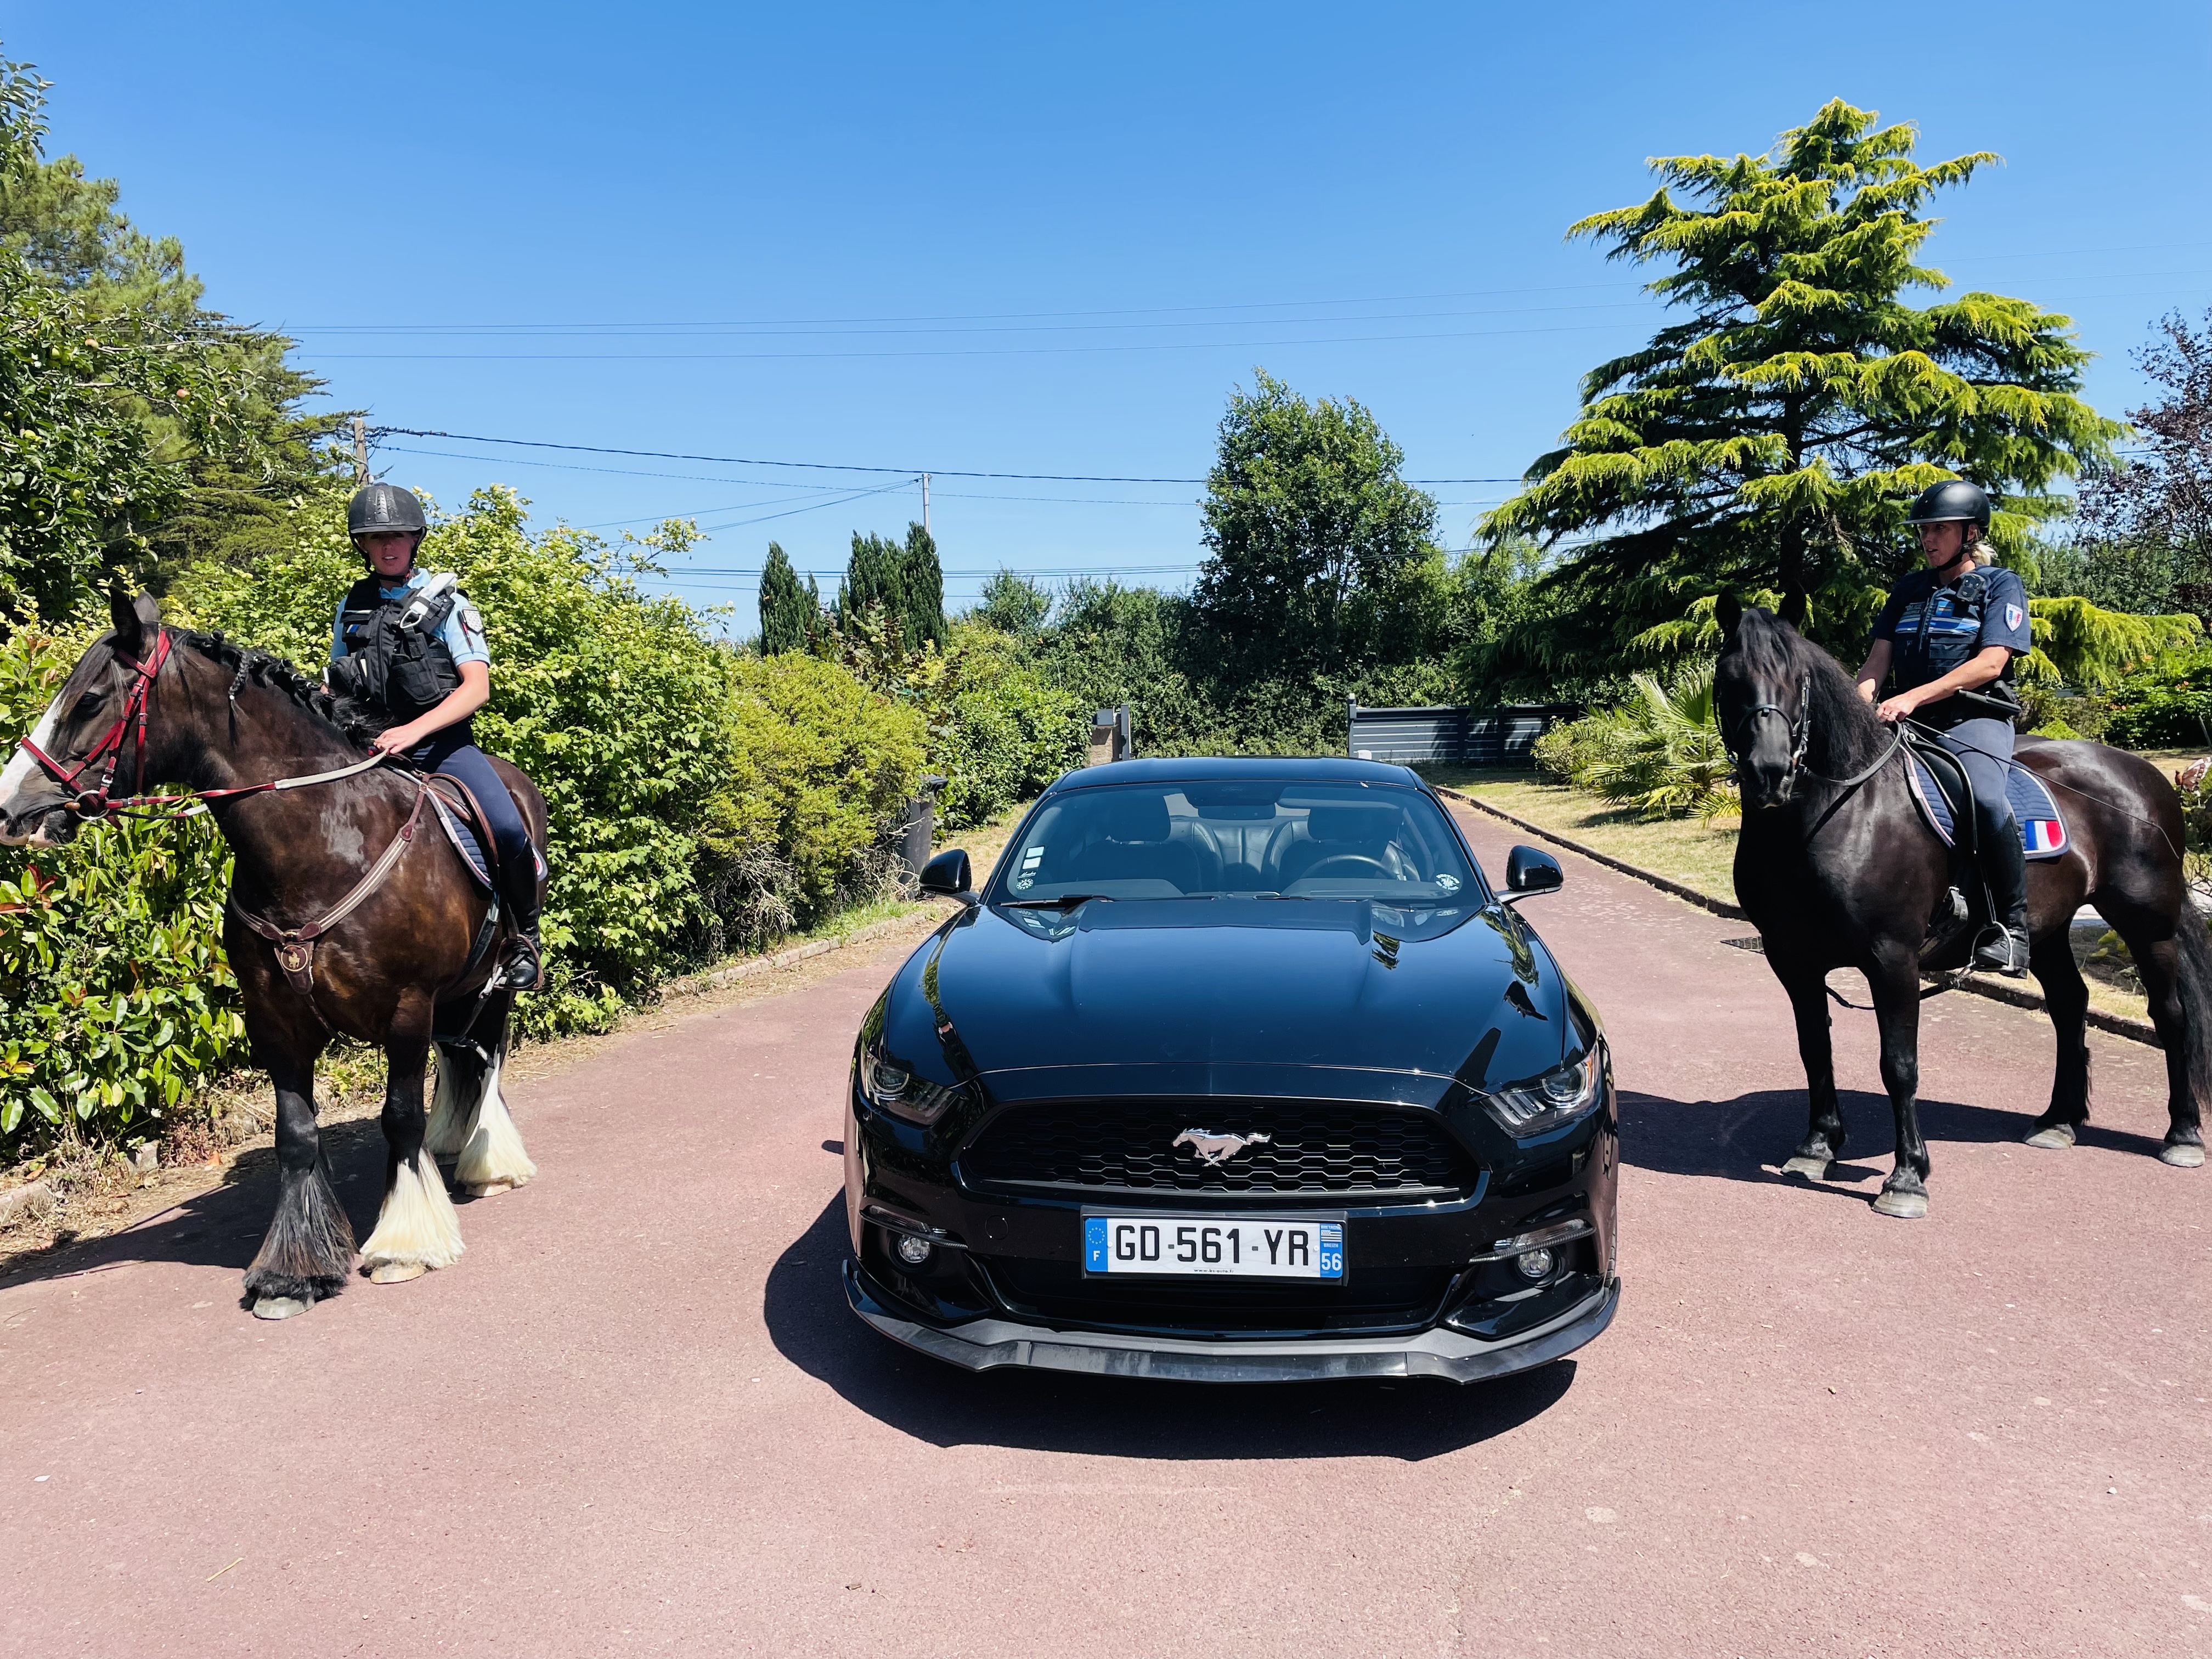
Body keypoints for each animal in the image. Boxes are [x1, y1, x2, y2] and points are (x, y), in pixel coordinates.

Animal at [0, 592, 548, 1318]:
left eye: (89, 699)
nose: (11, 811)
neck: (324, 839)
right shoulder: (275, 1019)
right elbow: (296, 1137)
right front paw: (293, 1273)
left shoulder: (406, 1008)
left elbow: (399, 1118)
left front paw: (403, 1244)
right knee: (462, 1059)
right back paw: (454, 1148)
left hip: (493, 981)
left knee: (485, 1058)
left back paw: (490, 1167)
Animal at [1716, 601, 2203, 1221]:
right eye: (1729, 679)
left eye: (1797, 679)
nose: (1770, 773)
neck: (1835, 815)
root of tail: (2142, 775)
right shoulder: (1792, 960)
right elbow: (1814, 1049)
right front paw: (1817, 1146)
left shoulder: (1893, 959)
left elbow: (1899, 1065)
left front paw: (1906, 1178)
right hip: (2048, 930)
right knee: (2070, 1006)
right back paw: (2058, 1122)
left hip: (2149, 925)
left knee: (2170, 1015)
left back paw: (2183, 1134)